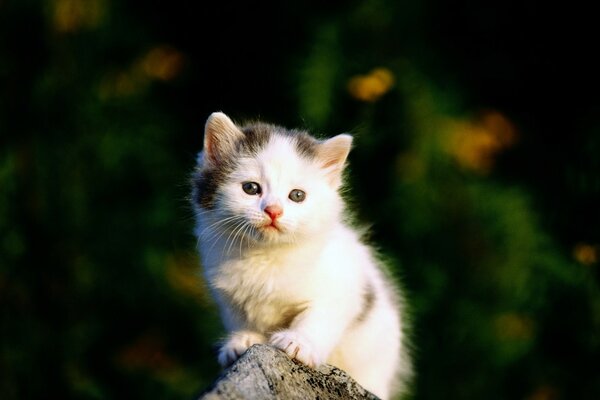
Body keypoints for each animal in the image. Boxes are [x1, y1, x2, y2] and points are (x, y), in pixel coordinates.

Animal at [192, 112, 412, 400]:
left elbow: (318, 317)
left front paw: (298, 342)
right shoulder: (230, 296)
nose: (273, 210)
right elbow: (240, 317)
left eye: (297, 195)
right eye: (250, 188)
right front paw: (242, 340)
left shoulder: (343, 288)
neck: (266, 255)